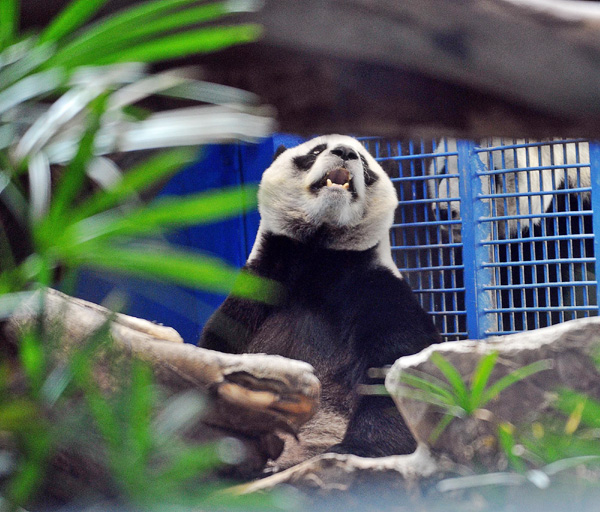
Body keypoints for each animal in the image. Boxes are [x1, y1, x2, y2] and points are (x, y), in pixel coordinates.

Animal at [199, 134, 438, 466]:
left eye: (365, 164)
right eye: (315, 151)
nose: (346, 152)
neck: (319, 255)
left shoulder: (378, 292)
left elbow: (397, 370)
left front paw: (356, 449)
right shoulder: (256, 292)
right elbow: (217, 349)